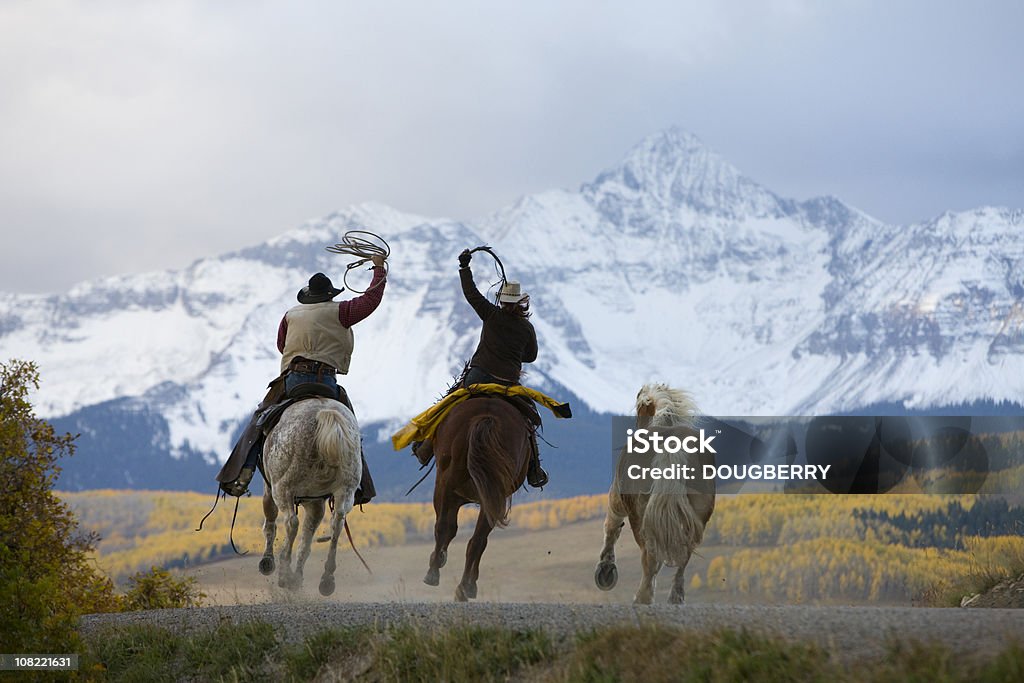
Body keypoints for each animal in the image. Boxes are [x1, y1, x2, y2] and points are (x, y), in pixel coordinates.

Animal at [258, 397, 362, 593]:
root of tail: (326, 413)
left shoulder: (271, 487)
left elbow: (271, 523)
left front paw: (268, 562)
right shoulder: (315, 502)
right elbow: (306, 542)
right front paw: (298, 576)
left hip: (283, 488)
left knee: (291, 523)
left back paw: (284, 574)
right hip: (345, 490)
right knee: (337, 523)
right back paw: (326, 579)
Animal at [421, 397, 532, 602]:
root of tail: (486, 417)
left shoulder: (449, 493)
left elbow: (448, 528)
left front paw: (438, 559)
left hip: (447, 484)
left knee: (447, 528)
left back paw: (436, 574)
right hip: (494, 496)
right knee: (477, 540)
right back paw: (464, 587)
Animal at [598, 385, 716, 602]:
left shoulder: (616, 498)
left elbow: (612, 527)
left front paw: (605, 570)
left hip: (640, 516)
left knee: (650, 556)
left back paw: (643, 598)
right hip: (696, 516)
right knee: (683, 555)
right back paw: (675, 597)